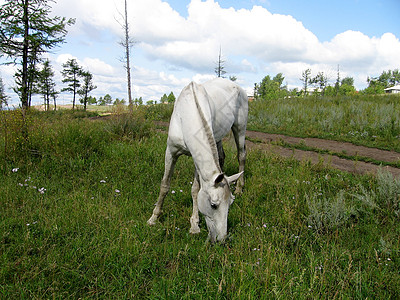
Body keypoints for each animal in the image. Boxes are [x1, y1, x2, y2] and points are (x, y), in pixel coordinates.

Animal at [147, 78, 247, 244]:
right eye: (214, 205)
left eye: (230, 203)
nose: (221, 239)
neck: (186, 116)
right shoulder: (170, 152)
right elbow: (165, 185)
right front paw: (153, 218)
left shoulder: (196, 160)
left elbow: (195, 189)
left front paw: (194, 226)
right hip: (218, 137)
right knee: (222, 157)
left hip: (240, 128)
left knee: (241, 155)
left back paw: (239, 188)